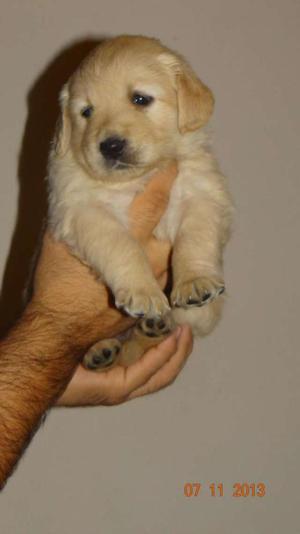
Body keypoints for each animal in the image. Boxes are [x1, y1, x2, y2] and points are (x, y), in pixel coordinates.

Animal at [47, 35, 234, 370]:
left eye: (140, 99)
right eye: (86, 112)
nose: (110, 146)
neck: (137, 178)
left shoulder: (201, 193)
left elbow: (195, 238)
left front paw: (195, 282)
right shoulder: (83, 209)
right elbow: (122, 246)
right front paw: (143, 291)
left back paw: (154, 327)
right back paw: (101, 351)